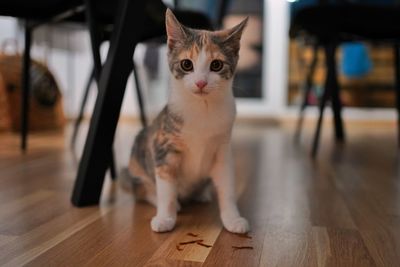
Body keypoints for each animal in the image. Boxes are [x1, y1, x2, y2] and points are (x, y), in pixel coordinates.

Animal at [122, 8, 248, 234]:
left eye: (216, 65)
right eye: (186, 64)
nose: (201, 83)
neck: (202, 108)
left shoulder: (223, 151)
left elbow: (227, 188)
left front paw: (233, 219)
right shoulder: (163, 147)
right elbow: (166, 189)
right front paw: (165, 217)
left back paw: (201, 193)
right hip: (139, 153)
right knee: (142, 190)